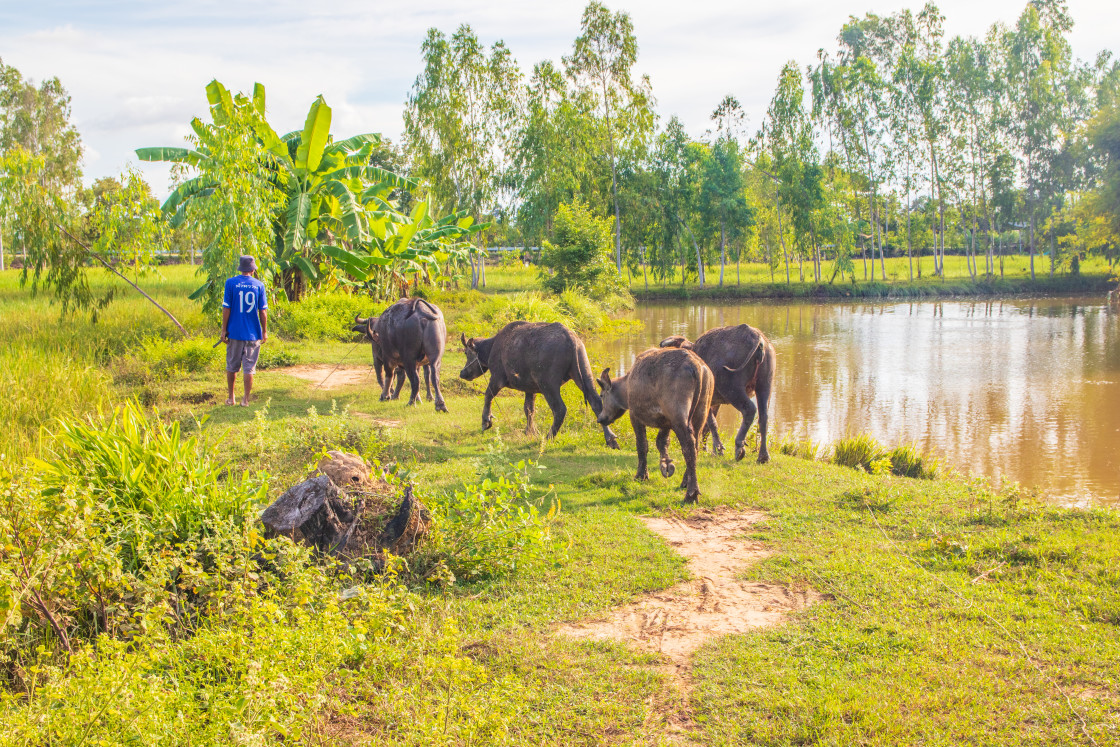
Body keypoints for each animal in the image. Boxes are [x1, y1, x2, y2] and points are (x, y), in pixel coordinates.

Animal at [461, 322, 627, 450]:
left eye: (466, 353)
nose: (462, 373)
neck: (491, 348)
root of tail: (571, 339)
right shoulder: (530, 389)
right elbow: (529, 409)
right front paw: (530, 431)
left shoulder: (497, 378)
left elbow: (488, 395)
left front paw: (486, 421)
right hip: (584, 375)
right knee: (596, 403)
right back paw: (611, 440)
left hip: (548, 385)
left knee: (560, 409)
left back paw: (548, 437)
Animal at [600, 349, 712, 501]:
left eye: (601, 395)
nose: (600, 418)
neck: (627, 386)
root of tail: (696, 366)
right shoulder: (666, 423)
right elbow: (662, 442)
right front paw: (666, 464)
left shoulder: (635, 416)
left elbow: (642, 446)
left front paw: (641, 475)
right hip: (700, 414)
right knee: (696, 446)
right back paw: (685, 481)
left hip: (679, 417)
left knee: (688, 447)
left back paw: (691, 493)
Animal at [658, 324, 775, 463]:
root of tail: (755, 335)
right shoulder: (714, 403)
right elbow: (708, 427)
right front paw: (710, 449)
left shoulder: (705, 402)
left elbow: (711, 424)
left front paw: (717, 449)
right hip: (765, 385)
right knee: (764, 418)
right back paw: (763, 456)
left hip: (732, 389)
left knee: (749, 410)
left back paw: (739, 447)